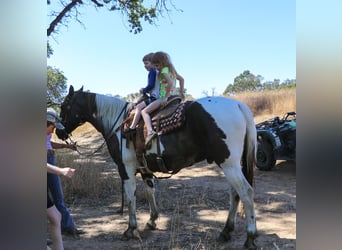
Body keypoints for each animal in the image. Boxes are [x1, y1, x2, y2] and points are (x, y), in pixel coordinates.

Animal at [57, 85, 258, 248]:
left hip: (229, 164)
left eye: (64, 106)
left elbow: (130, 198)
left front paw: (130, 229)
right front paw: (152, 220)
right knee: (235, 194)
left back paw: (250, 237)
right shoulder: (145, 168)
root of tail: (238, 105)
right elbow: (149, 192)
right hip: (230, 164)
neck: (119, 124)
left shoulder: (126, 169)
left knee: (246, 192)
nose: (59, 132)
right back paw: (226, 231)